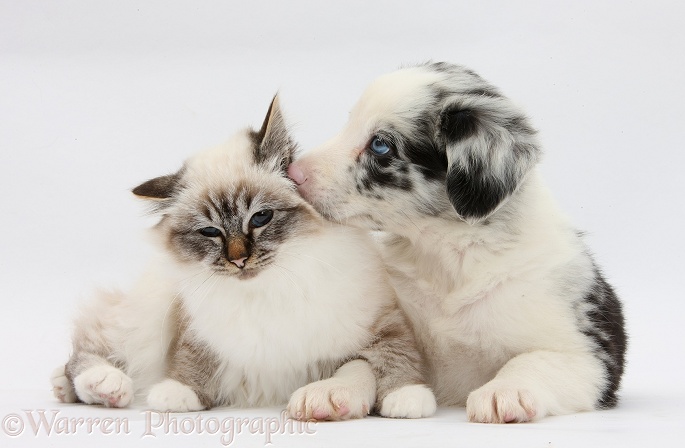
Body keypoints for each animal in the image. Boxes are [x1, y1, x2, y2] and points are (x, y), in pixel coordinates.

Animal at [50, 95, 436, 420]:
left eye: (261, 218)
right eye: (210, 232)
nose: (239, 260)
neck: (270, 288)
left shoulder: (381, 323)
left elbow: (387, 360)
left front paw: (405, 397)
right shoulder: (197, 328)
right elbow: (193, 359)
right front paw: (178, 393)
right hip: (146, 316)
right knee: (86, 352)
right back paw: (104, 386)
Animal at [286, 63, 628, 424]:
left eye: (380, 145)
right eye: (350, 123)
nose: (293, 173)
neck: (450, 257)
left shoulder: (588, 355)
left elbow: (531, 361)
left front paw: (504, 391)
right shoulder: (389, 328)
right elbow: (364, 362)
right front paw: (331, 389)